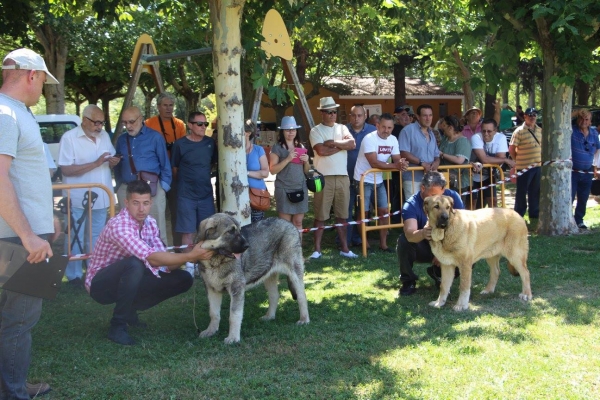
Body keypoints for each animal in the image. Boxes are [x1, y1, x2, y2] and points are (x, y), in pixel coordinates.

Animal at [196, 214, 310, 342]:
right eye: (230, 231)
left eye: (239, 231)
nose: (247, 246)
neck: (215, 261)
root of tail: (290, 225)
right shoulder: (212, 290)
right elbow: (213, 313)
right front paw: (211, 331)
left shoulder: (236, 289)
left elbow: (234, 315)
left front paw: (233, 337)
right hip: (269, 275)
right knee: (274, 295)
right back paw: (269, 316)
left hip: (294, 271)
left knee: (301, 296)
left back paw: (304, 319)